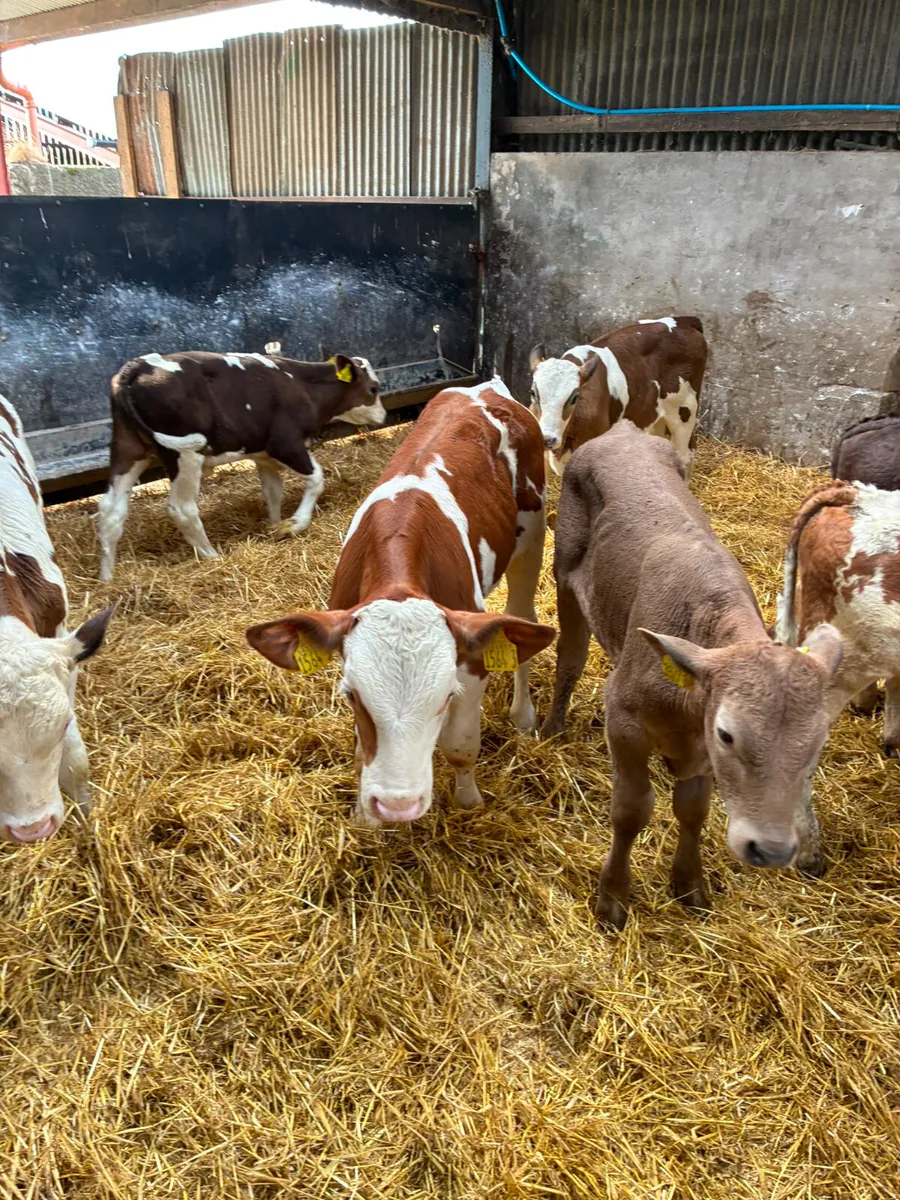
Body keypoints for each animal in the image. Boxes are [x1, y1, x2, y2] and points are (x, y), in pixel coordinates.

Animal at [97, 350, 386, 580]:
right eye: (374, 388)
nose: (383, 415)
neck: (302, 385)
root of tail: (137, 366)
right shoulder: (285, 444)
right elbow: (316, 479)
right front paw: (294, 524)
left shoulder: (263, 455)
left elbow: (273, 492)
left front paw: (274, 526)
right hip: (184, 453)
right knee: (182, 509)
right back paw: (212, 556)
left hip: (128, 450)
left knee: (111, 510)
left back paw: (107, 579)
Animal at [246, 378, 556, 826]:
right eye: (351, 696)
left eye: (447, 697)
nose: (397, 805)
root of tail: (484, 386)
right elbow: (363, 751)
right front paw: (365, 815)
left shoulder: (471, 661)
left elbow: (461, 745)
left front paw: (468, 801)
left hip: (531, 534)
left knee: (521, 616)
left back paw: (523, 714)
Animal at [528, 316, 708, 477]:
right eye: (533, 393)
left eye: (574, 397)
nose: (548, 439)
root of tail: (685, 320)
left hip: (684, 412)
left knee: (685, 456)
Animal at [541, 421, 843, 929]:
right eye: (728, 733)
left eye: (818, 744)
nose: (771, 849)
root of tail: (623, 430)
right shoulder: (624, 717)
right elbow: (631, 810)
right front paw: (613, 899)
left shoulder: (698, 749)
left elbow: (693, 810)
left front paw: (690, 885)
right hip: (565, 569)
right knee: (571, 654)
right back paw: (551, 726)